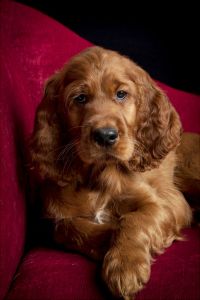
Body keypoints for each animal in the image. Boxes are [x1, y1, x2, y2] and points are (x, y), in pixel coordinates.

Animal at [29, 45, 191, 298]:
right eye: (80, 98)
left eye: (121, 94)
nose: (105, 135)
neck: (98, 176)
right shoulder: (56, 215)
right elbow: (69, 227)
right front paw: (111, 236)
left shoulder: (167, 204)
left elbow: (135, 219)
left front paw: (125, 266)